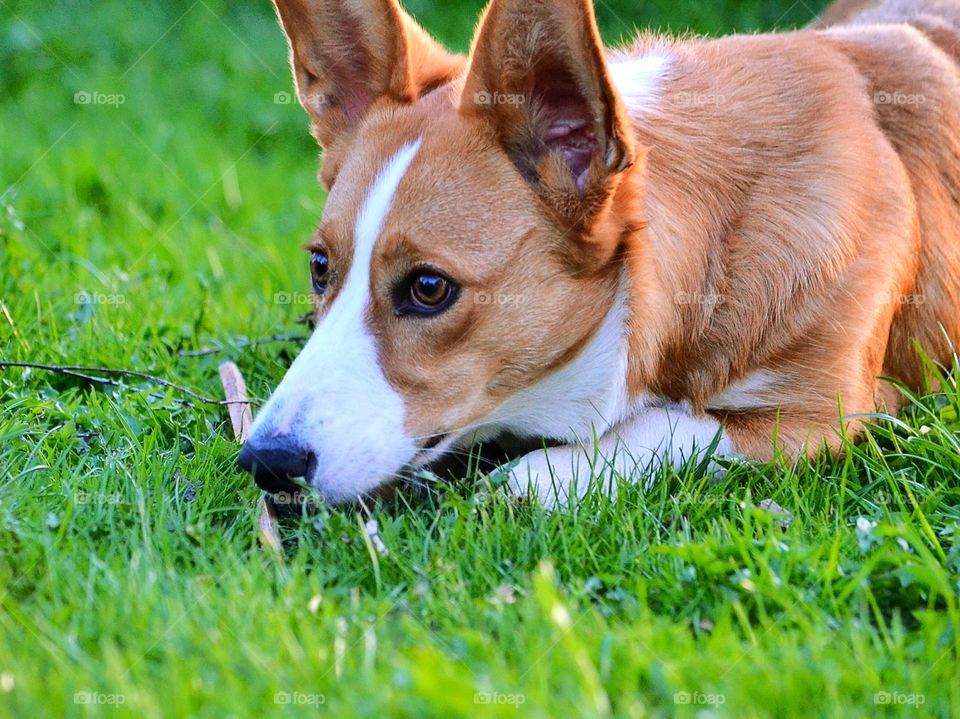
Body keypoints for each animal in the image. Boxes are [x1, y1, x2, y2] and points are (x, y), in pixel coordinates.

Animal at [238, 0, 960, 506]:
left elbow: (667, 428)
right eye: (320, 267)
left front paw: (537, 474)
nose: (265, 462)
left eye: (429, 288)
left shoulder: (830, 412)